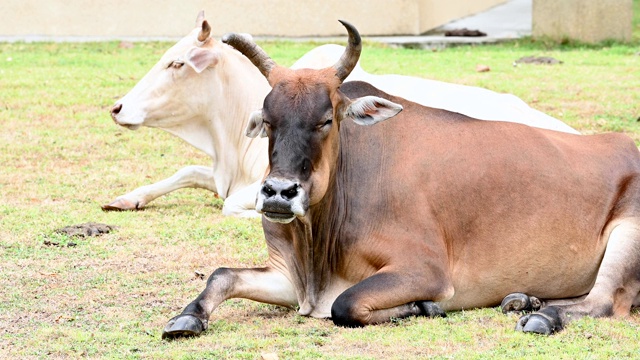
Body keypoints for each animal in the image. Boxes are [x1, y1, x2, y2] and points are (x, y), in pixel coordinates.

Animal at [104, 11, 576, 217]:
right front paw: (126, 197)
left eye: (177, 63)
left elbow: (234, 204)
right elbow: (188, 171)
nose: (118, 108)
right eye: (267, 121)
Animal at [162, 21, 640, 338]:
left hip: (628, 234)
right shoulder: (288, 275)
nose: (279, 193)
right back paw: (526, 299)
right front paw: (187, 316)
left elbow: (346, 304)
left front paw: (423, 307)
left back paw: (542, 314)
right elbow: (222, 274)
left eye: (325, 119)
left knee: (604, 301)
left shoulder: (424, 269)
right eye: (267, 119)